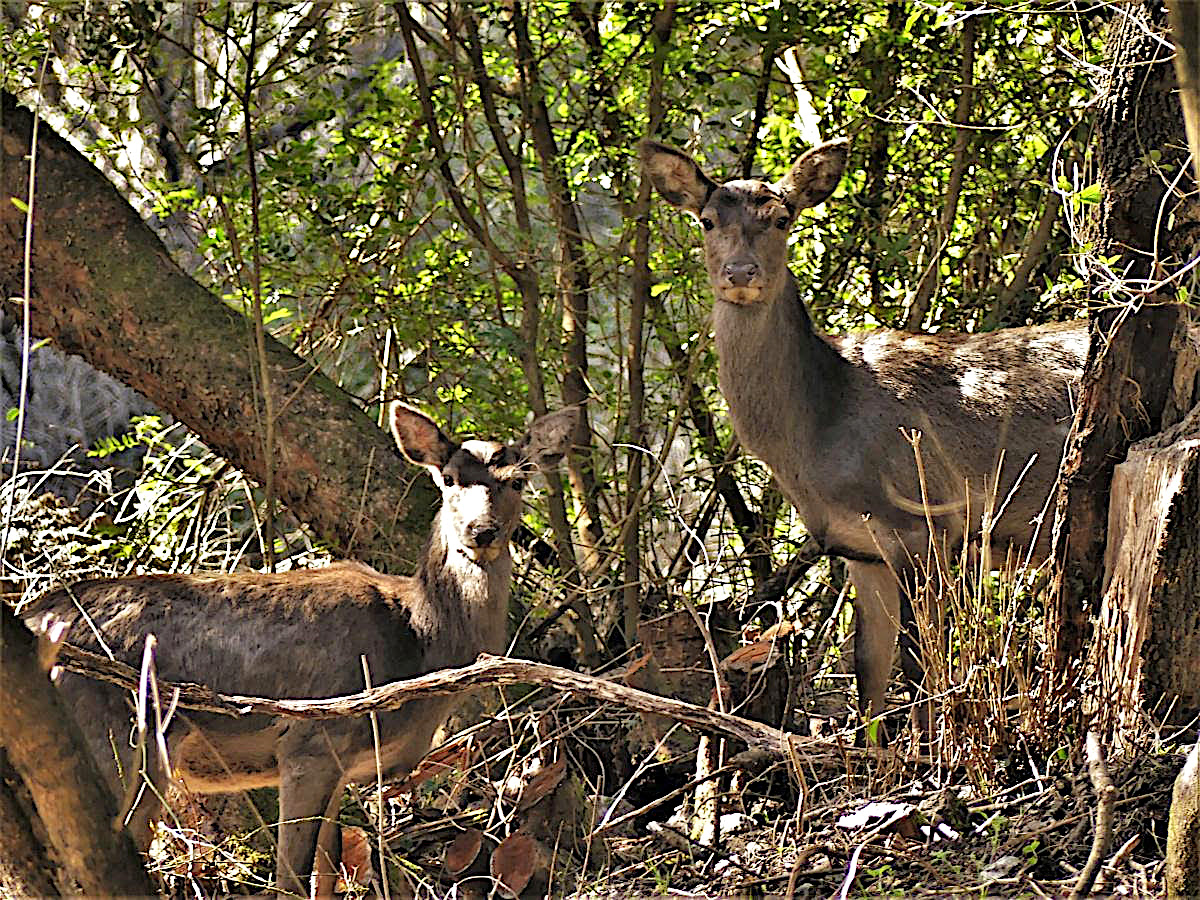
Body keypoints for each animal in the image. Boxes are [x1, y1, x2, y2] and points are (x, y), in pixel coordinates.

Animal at [23, 405, 576, 897]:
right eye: (449, 479)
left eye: (518, 480)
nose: (482, 532)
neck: (419, 639)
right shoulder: (312, 742)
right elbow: (290, 880)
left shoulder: (343, 767)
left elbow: (327, 875)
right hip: (117, 740)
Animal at [643, 135, 1094, 739]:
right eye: (708, 219)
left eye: (782, 217)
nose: (740, 272)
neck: (817, 434)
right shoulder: (860, 549)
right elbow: (869, 670)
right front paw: (875, 755)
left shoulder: (922, 522)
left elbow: (919, 665)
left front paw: (927, 756)